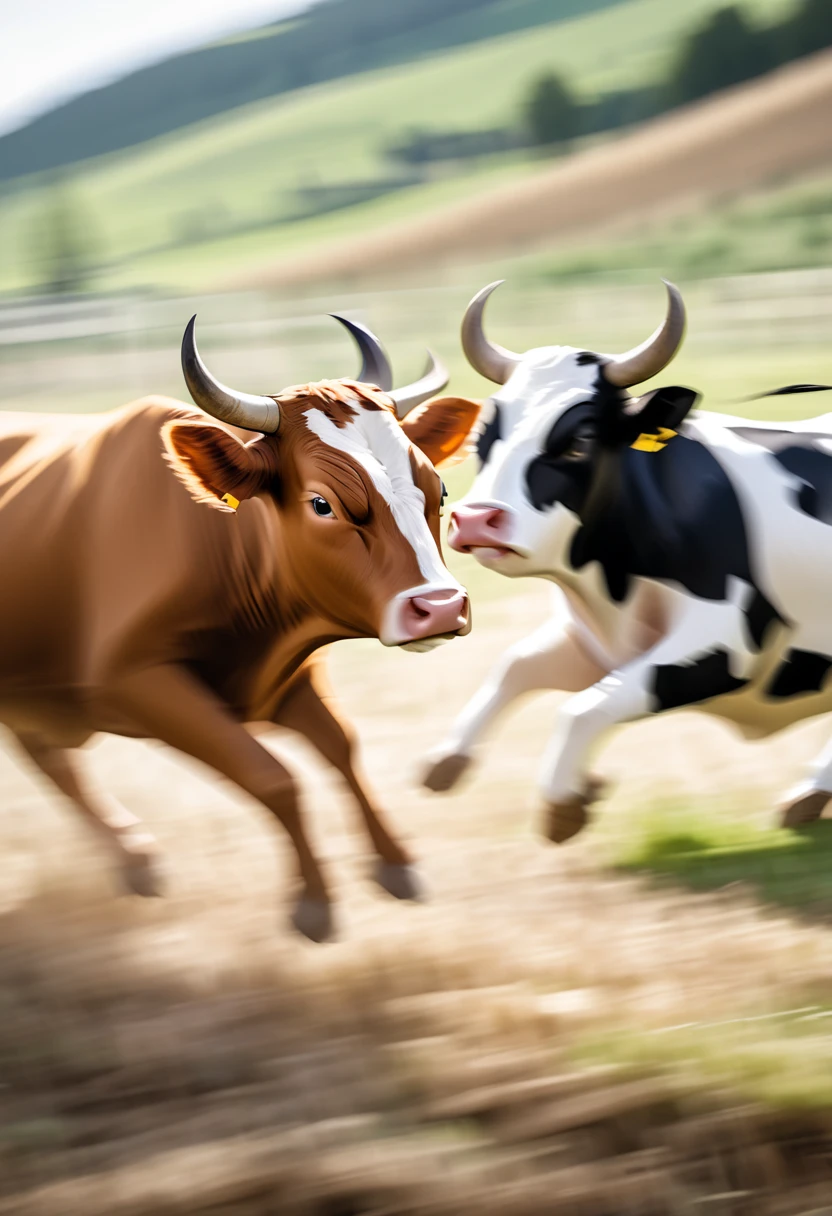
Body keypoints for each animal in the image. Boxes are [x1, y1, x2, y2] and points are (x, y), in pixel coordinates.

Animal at [0, 316, 476, 938]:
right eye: (321, 503)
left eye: (439, 489)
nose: (440, 607)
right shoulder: (132, 682)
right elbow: (271, 775)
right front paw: (314, 902)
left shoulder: (288, 674)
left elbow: (342, 748)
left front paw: (396, 864)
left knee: (44, 753)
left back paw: (133, 861)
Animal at [425, 279, 832, 841]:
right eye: (484, 435)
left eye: (581, 438)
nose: (475, 520)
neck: (615, 592)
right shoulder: (591, 643)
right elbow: (517, 667)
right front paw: (450, 758)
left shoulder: (726, 644)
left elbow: (582, 709)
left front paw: (564, 803)